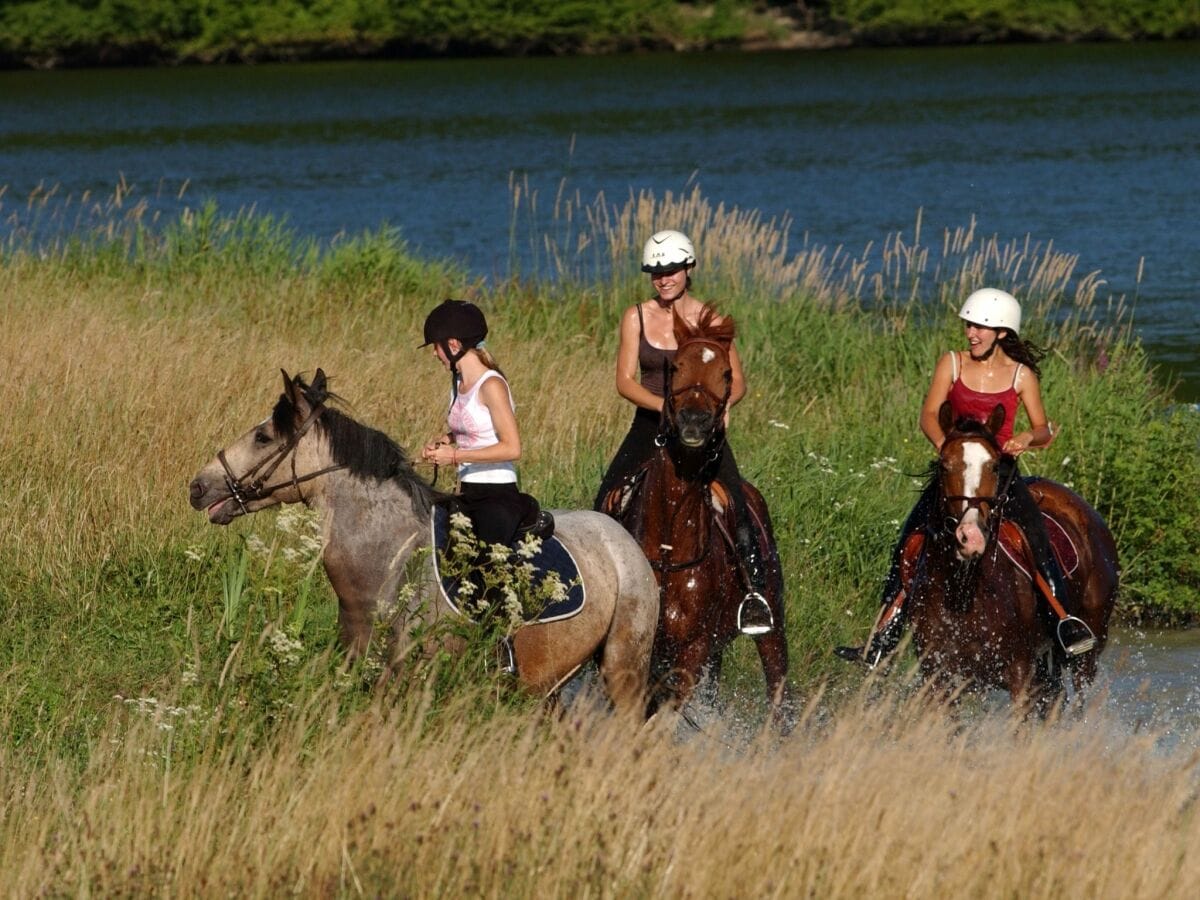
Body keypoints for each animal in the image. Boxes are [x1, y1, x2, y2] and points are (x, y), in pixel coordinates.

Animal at [187, 367, 657, 720]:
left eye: (263, 437)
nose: (198, 486)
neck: (389, 564)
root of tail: (620, 538)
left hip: (624, 669)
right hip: (551, 681)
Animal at [912, 403, 1118, 710]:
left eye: (994, 466)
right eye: (943, 465)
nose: (970, 537)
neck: (966, 590)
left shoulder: (1019, 669)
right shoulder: (939, 673)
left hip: (1088, 648)